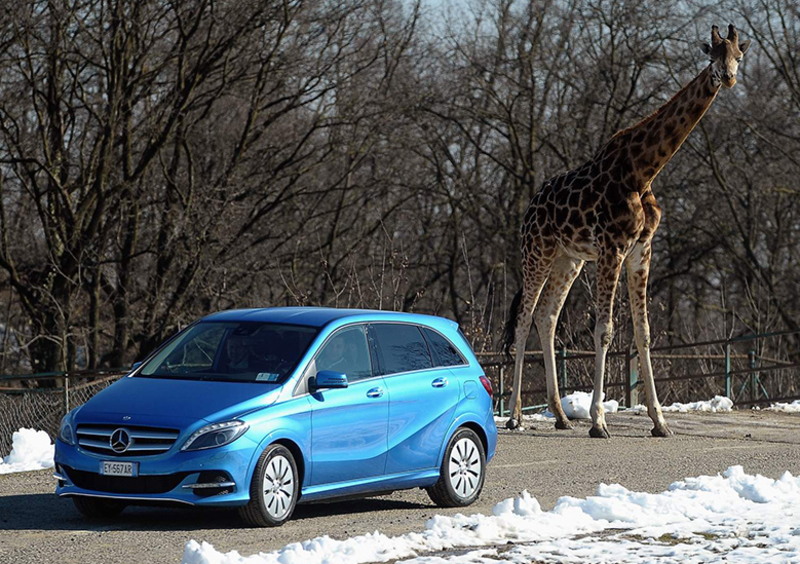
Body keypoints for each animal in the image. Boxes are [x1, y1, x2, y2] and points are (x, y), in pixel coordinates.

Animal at [500, 24, 752, 436]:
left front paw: (660, 421)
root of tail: (530, 207)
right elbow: (604, 330)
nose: (728, 78)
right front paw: (598, 421)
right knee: (523, 318)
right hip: (537, 251)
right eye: (712, 55)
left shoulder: (640, 251)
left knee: (546, 316)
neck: (644, 170)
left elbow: (644, 333)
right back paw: (516, 416)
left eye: (738, 56)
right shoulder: (612, 249)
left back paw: (559, 416)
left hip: (569, 260)